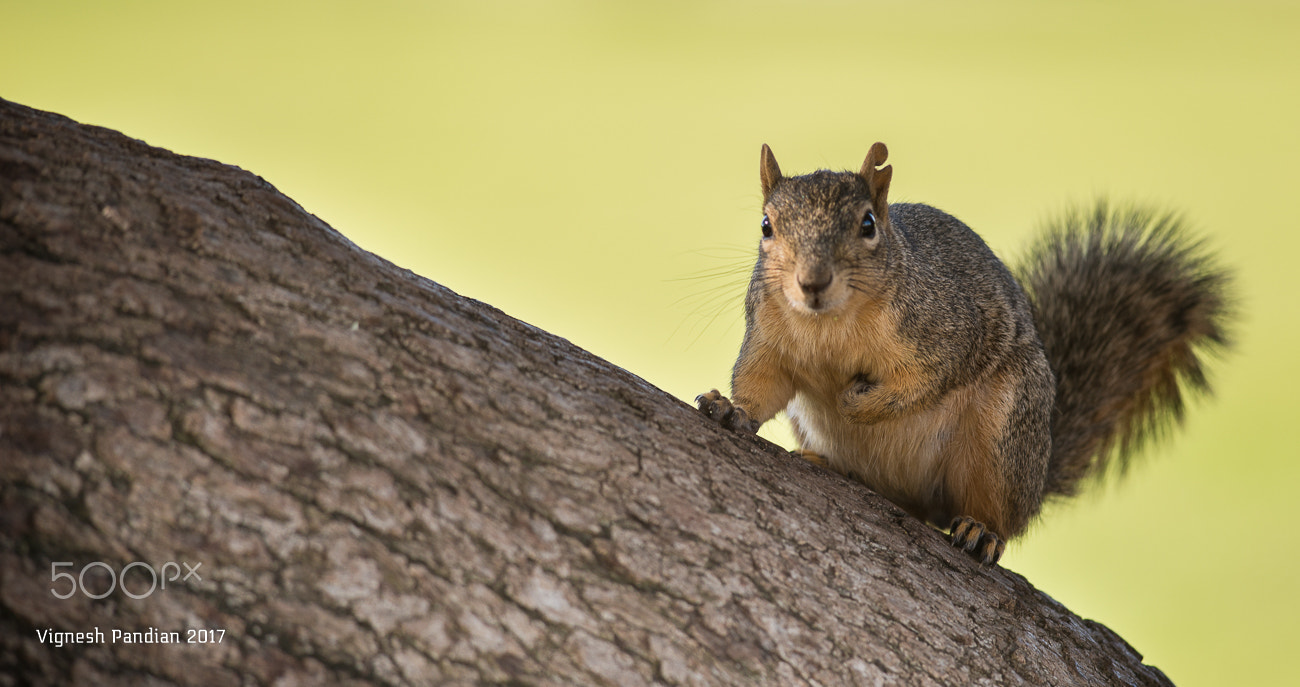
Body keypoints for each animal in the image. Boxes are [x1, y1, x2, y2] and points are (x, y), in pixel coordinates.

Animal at [696, 143, 1232, 564]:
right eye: (766, 225)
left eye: (867, 224)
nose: (812, 282)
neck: (831, 323)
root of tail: (1038, 472)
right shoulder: (768, 337)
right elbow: (761, 386)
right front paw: (730, 408)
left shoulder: (951, 331)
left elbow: (926, 382)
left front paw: (857, 404)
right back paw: (833, 464)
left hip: (1005, 430)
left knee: (999, 514)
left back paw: (981, 530)